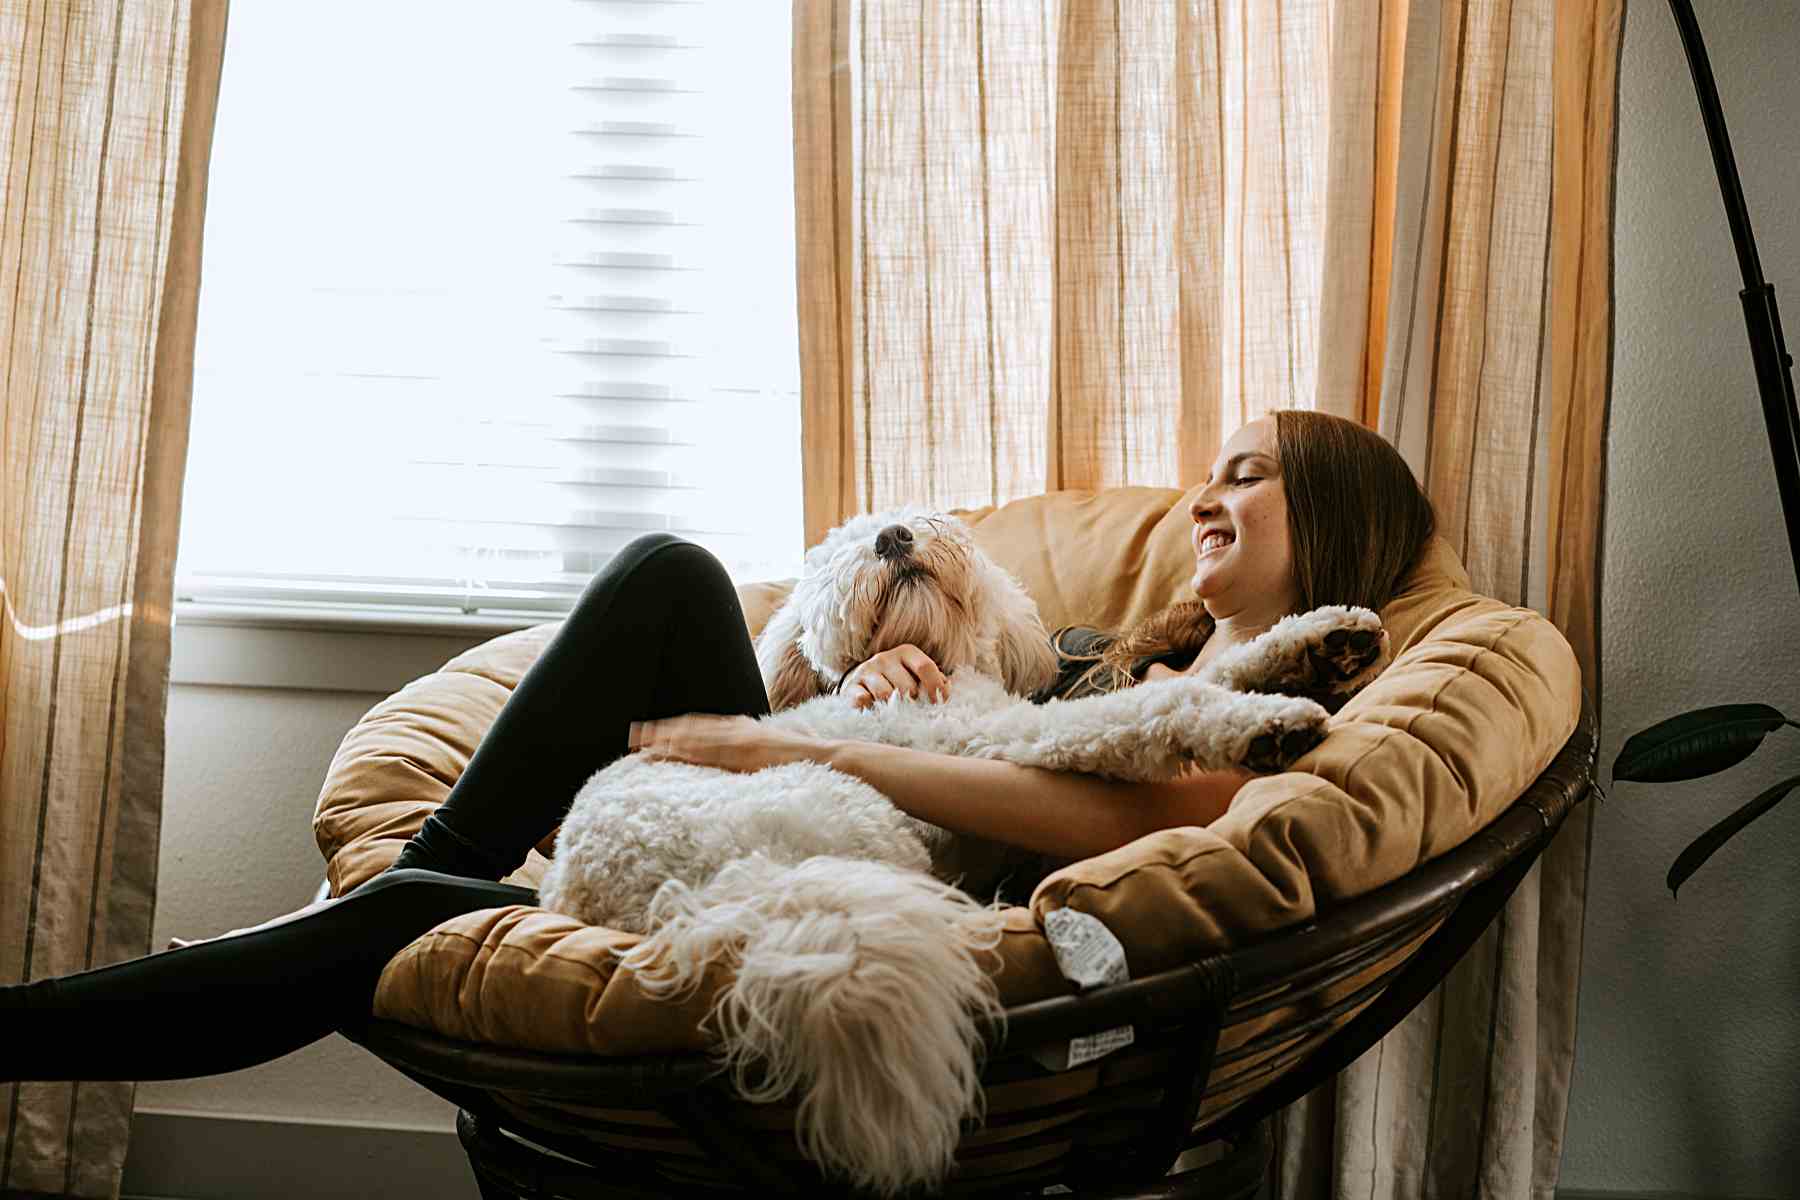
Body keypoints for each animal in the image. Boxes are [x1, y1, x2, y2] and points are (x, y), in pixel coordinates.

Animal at [532, 510, 1389, 1200]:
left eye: (917, 517)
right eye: (840, 551)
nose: (890, 536)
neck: (930, 665)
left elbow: (1222, 665)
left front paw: (1324, 638)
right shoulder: (1010, 739)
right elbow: (1155, 703)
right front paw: (1264, 722)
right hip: (862, 823)